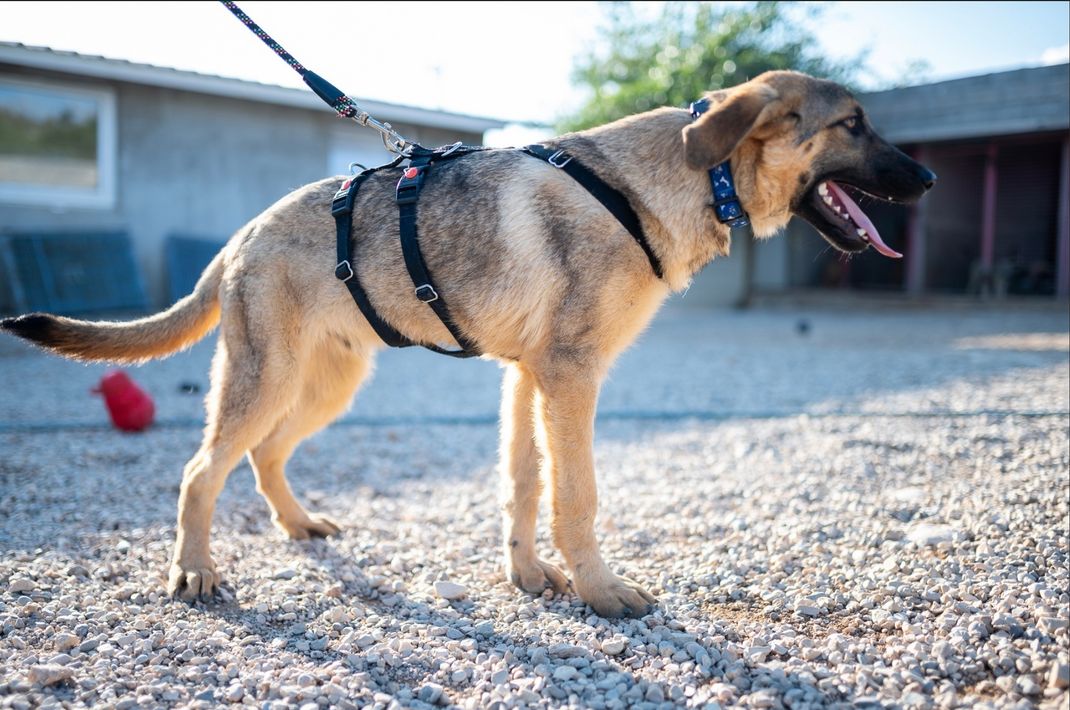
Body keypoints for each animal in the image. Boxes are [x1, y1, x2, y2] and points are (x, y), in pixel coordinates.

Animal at [1, 71, 934, 618]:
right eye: (853, 124)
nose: (928, 178)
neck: (677, 176)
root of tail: (240, 234)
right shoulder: (570, 379)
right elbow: (576, 498)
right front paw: (600, 592)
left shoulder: (528, 380)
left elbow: (522, 486)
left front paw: (530, 579)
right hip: (265, 382)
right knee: (202, 470)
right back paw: (194, 571)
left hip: (325, 384)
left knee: (264, 456)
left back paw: (298, 525)